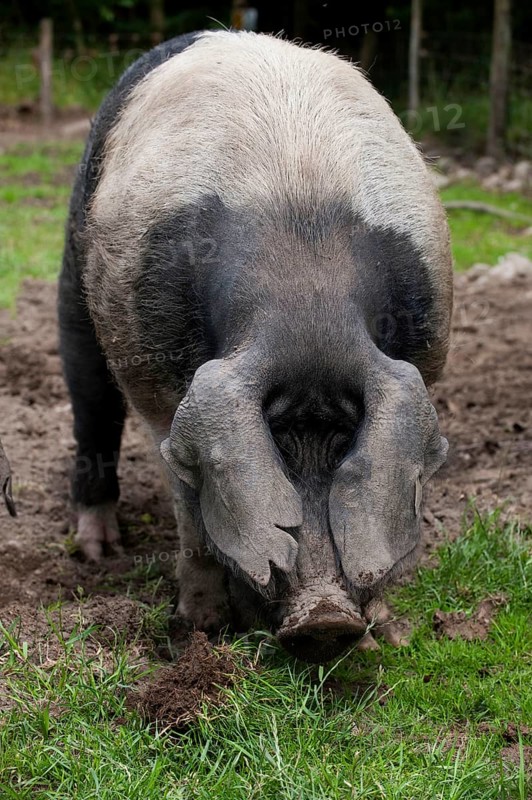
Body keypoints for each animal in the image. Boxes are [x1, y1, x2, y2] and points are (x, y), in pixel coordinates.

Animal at [58, 30, 452, 662]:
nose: (325, 619)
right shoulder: (160, 387)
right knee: (91, 400)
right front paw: (198, 630)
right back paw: (99, 550)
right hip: (78, 269)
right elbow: (192, 516)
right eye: (276, 442)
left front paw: (385, 636)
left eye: (346, 442)